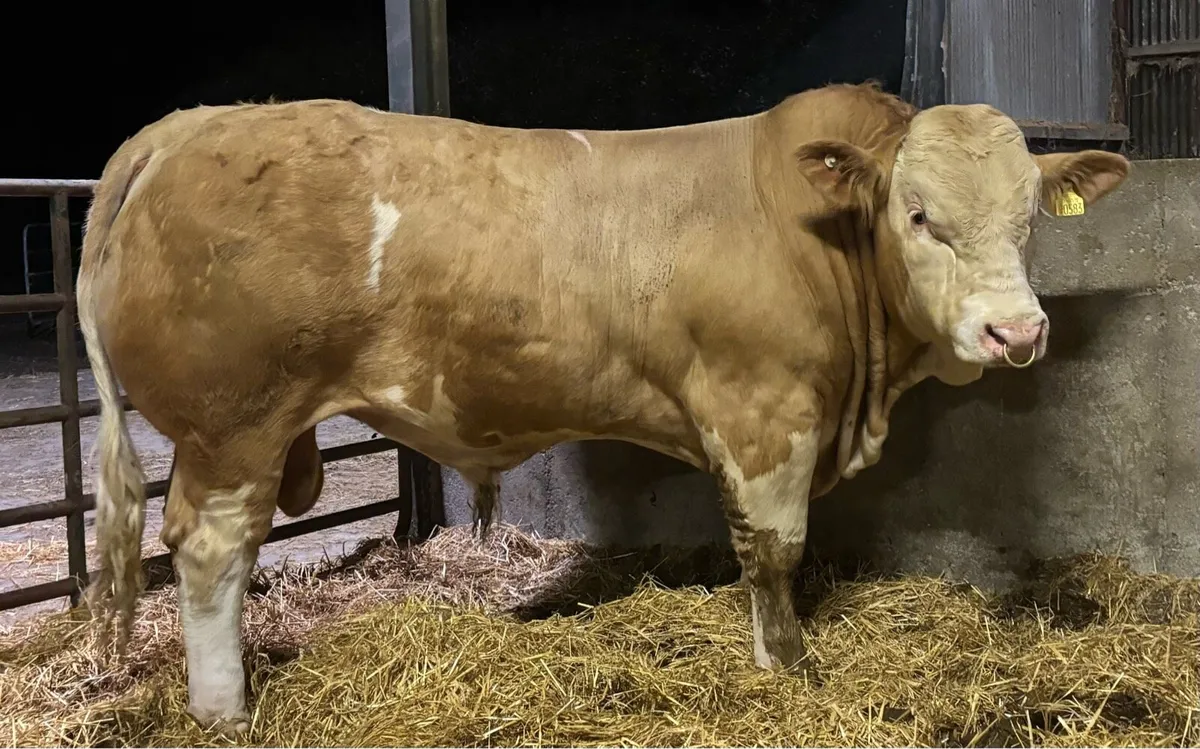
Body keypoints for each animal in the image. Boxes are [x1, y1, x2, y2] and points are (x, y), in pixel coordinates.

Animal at [77, 82, 1129, 735]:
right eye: (918, 214)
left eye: (1029, 217)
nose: (1015, 331)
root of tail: (190, 125)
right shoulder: (762, 409)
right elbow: (773, 550)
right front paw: (786, 667)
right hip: (233, 425)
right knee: (210, 551)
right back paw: (227, 710)